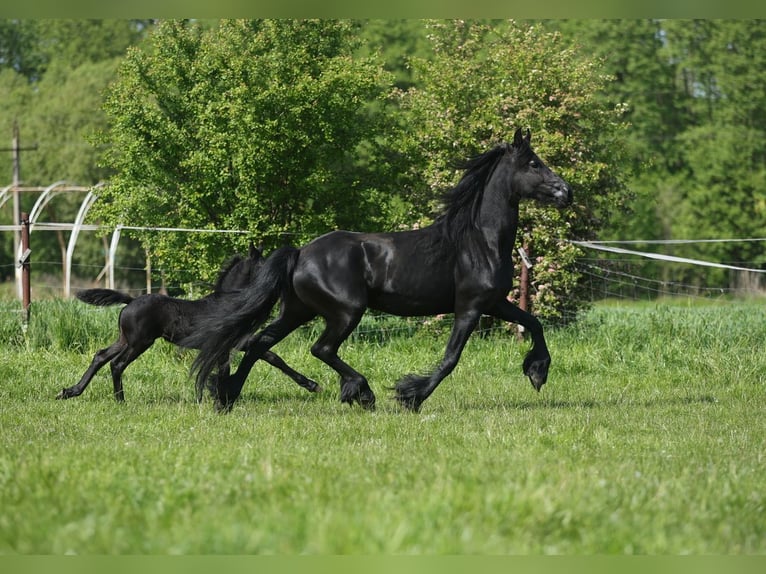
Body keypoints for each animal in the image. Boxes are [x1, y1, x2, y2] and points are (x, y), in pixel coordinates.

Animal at [57, 245, 320, 402]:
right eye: (264, 265)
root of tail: (130, 301)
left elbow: (268, 357)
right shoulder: (233, 343)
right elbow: (266, 358)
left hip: (125, 339)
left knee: (100, 356)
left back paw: (71, 391)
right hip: (140, 342)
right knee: (117, 364)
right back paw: (120, 399)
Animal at [189, 128, 572, 412]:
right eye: (534, 163)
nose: (566, 192)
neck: (479, 241)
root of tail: (299, 253)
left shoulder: (494, 302)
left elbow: (533, 323)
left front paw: (537, 372)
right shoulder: (470, 306)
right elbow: (451, 358)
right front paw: (410, 396)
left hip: (299, 311)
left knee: (259, 343)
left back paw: (226, 396)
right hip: (346, 312)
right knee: (320, 349)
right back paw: (362, 393)